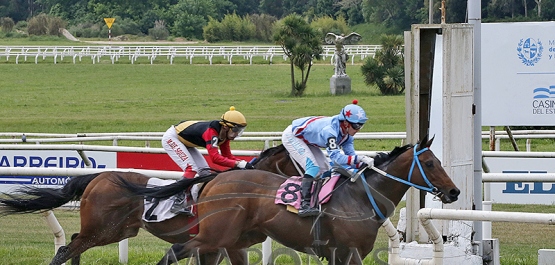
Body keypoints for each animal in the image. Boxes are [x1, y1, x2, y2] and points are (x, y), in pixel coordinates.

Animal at [117, 135, 460, 262]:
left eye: (439, 160)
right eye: (430, 164)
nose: (454, 192)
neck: (361, 198)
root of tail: (213, 181)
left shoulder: (340, 255)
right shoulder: (348, 253)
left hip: (228, 240)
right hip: (215, 235)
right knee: (174, 251)